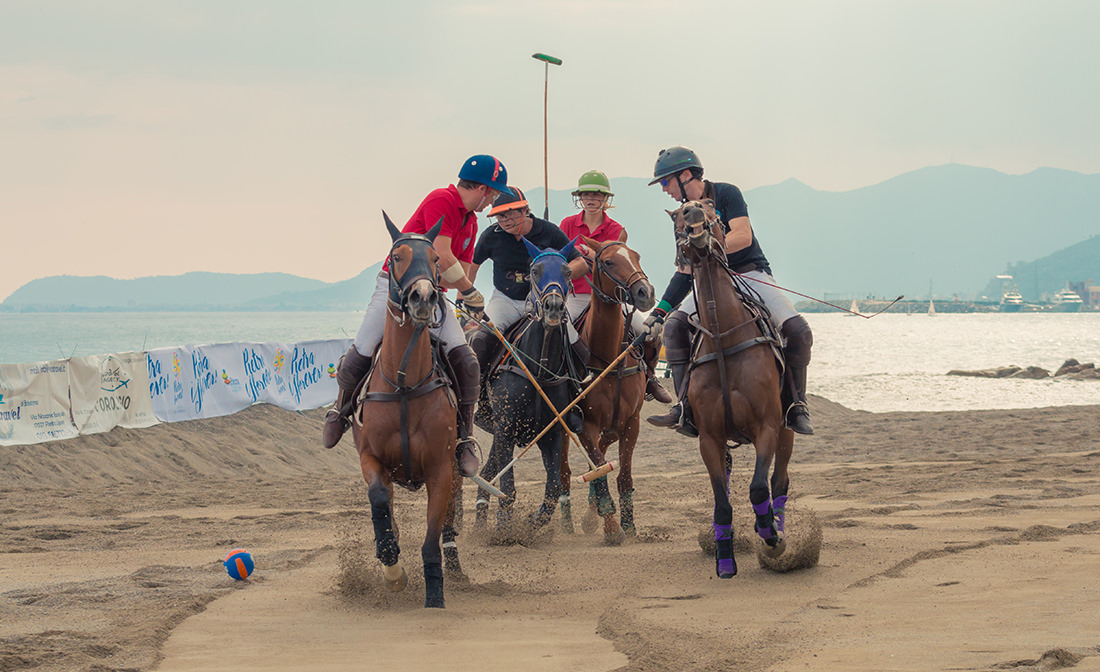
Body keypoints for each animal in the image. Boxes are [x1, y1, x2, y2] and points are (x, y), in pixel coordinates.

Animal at [352, 215, 464, 611]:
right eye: (396, 257)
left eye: (434, 259)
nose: (424, 297)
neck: (404, 385)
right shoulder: (370, 457)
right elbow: (378, 499)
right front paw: (391, 563)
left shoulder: (440, 469)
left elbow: (432, 534)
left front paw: (435, 593)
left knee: (450, 517)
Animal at [473, 236, 580, 536]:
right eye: (535, 270)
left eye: (568, 271)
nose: (553, 307)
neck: (538, 370)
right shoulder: (506, 427)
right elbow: (507, 488)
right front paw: (505, 529)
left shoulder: (552, 433)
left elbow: (553, 488)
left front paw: (532, 522)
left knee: (486, 476)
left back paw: (479, 526)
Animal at [558, 234, 651, 543]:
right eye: (609, 262)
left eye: (636, 256)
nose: (646, 292)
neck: (610, 357)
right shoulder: (585, 425)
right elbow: (599, 470)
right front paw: (611, 528)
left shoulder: (631, 422)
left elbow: (623, 476)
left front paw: (629, 526)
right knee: (565, 471)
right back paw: (571, 522)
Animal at [664, 200, 796, 576]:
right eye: (677, 215)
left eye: (714, 212)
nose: (693, 212)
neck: (724, 337)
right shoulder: (710, 437)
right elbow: (722, 501)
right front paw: (725, 559)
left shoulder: (768, 427)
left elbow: (758, 489)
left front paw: (771, 535)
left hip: (787, 431)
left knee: (778, 482)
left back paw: (777, 527)